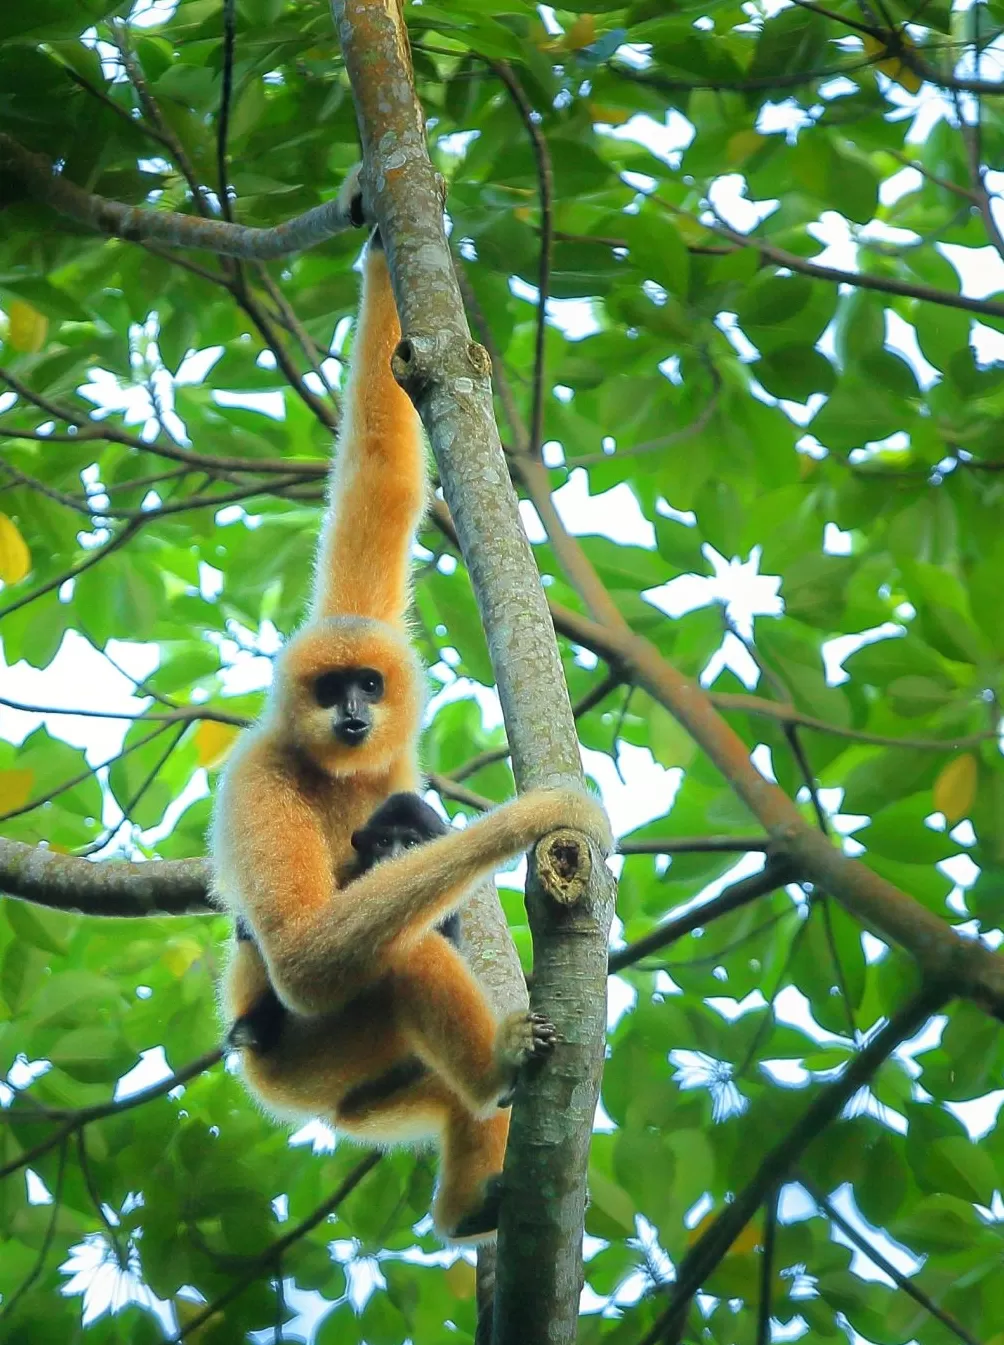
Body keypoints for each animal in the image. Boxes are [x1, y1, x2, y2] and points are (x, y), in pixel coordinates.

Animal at [211, 180, 612, 1241]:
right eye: (328, 689)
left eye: (369, 685)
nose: (352, 714)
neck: (339, 772)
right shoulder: (257, 774)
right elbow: (302, 952)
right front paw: (541, 813)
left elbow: (383, 468)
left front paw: (373, 209)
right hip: (302, 1058)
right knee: (393, 956)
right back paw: (496, 1065)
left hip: (362, 1090)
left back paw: (469, 1198)